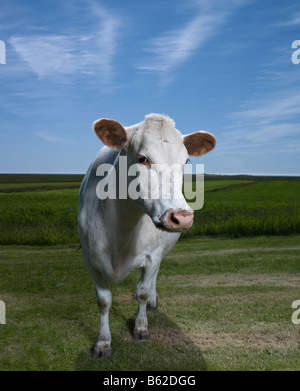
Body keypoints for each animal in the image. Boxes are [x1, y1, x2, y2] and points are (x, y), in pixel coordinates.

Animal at [78, 114, 216, 358]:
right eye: (143, 159)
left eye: (186, 162)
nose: (182, 217)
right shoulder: (89, 258)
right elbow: (103, 301)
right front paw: (103, 342)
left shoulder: (152, 256)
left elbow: (142, 291)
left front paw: (141, 327)